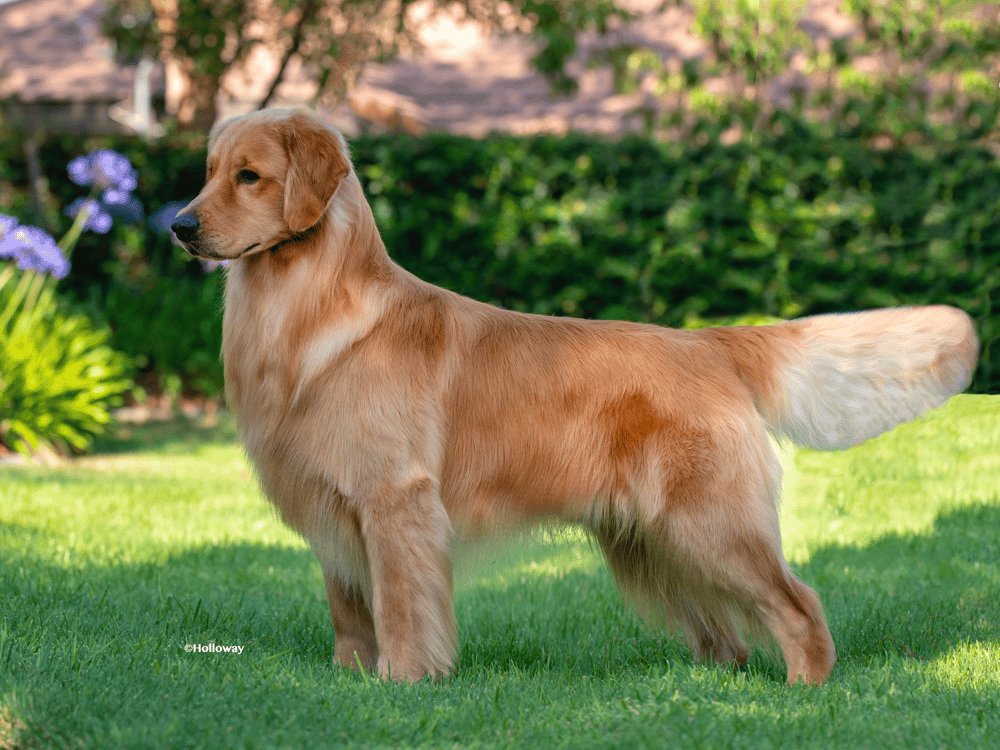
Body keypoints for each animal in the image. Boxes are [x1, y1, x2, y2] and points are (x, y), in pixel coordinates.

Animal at [170, 107, 976, 688]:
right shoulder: (334, 506)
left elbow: (401, 607)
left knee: (797, 603)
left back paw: (805, 691)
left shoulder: (394, 500)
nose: (179, 225)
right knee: (728, 634)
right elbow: (349, 611)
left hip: (708, 522)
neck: (309, 311)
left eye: (249, 177)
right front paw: (346, 683)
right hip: (653, 540)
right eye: (208, 174)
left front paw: (403, 682)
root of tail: (708, 342)